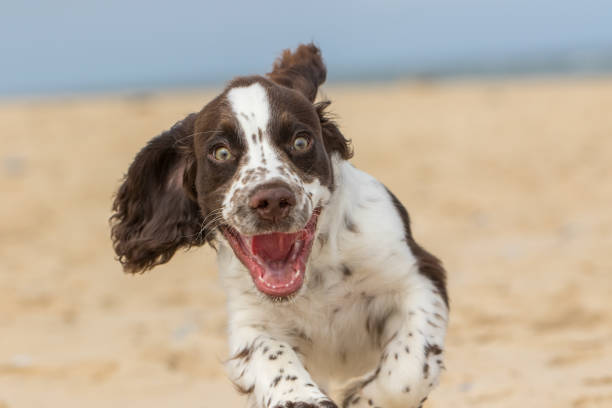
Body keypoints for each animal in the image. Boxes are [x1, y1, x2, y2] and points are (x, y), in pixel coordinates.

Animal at [110, 43, 448, 408]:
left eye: (301, 142)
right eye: (221, 152)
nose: (271, 199)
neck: (314, 276)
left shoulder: (417, 276)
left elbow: (409, 371)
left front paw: (361, 398)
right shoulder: (251, 323)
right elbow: (273, 358)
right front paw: (305, 398)